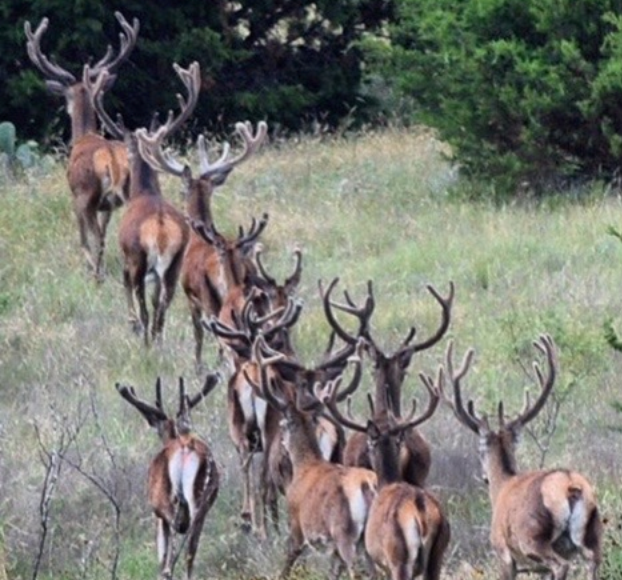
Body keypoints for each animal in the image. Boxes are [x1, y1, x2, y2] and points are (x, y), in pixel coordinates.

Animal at [24, 10, 139, 280]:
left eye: (66, 96)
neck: (83, 136)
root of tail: (112, 161)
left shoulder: (76, 195)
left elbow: (86, 238)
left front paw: (90, 268)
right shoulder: (107, 207)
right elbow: (105, 235)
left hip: (86, 194)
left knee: (92, 238)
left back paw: (96, 271)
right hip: (126, 192)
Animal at [116, 374, 221, 580]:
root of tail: (186, 447)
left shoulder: (157, 512)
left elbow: (161, 556)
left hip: (167, 502)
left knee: (169, 560)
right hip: (200, 504)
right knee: (190, 552)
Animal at [442, 336, 604, 580]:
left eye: (480, 452)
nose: (484, 477)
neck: (502, 485)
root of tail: (569, 485)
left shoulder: (502, 551)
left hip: (532, 537)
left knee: (561, 565)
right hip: (591, 535)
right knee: (592, 562)